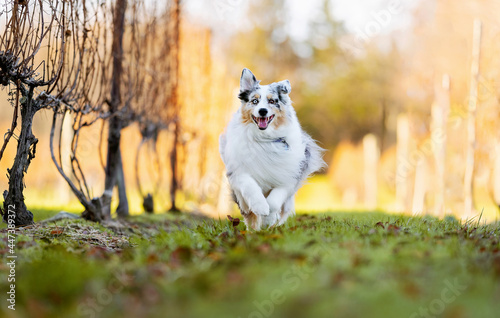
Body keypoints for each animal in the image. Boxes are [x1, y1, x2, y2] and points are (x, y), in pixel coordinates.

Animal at [219, 68, 324, 230]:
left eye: (272, 101)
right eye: (254, 101)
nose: (262, 111)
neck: (264, 139)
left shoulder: (287, 177)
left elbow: (274, 201)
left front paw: (268, 218)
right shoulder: (238, 171)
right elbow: (250, 187)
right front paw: (261, 206)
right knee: (247, 210)